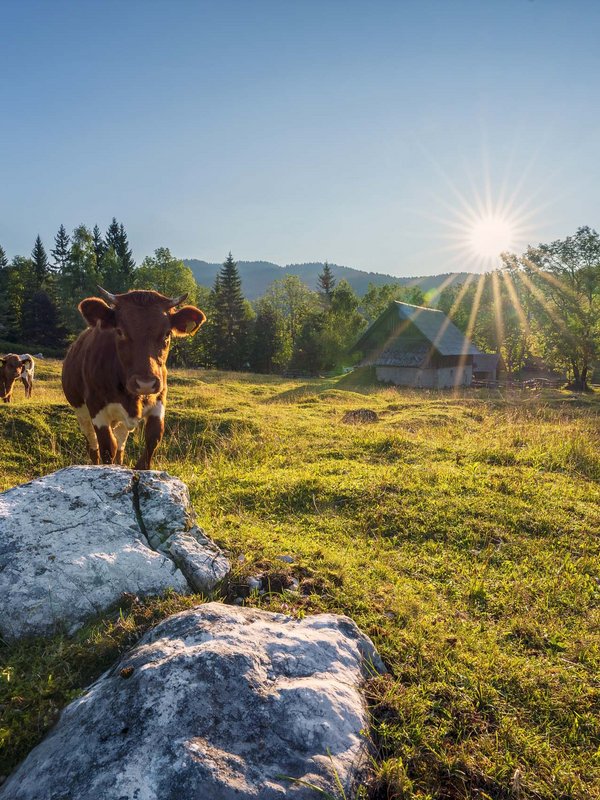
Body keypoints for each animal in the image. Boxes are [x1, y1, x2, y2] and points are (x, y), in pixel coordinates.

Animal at [61, 286, 206, 468]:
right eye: (120, 331)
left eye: (167, 334)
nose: (145, 383)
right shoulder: (96, 408)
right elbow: (107, 447)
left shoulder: (159, 400)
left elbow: (152, 439)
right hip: (82, 413)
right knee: (93, 446)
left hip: (121, 421)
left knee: (120, 444)